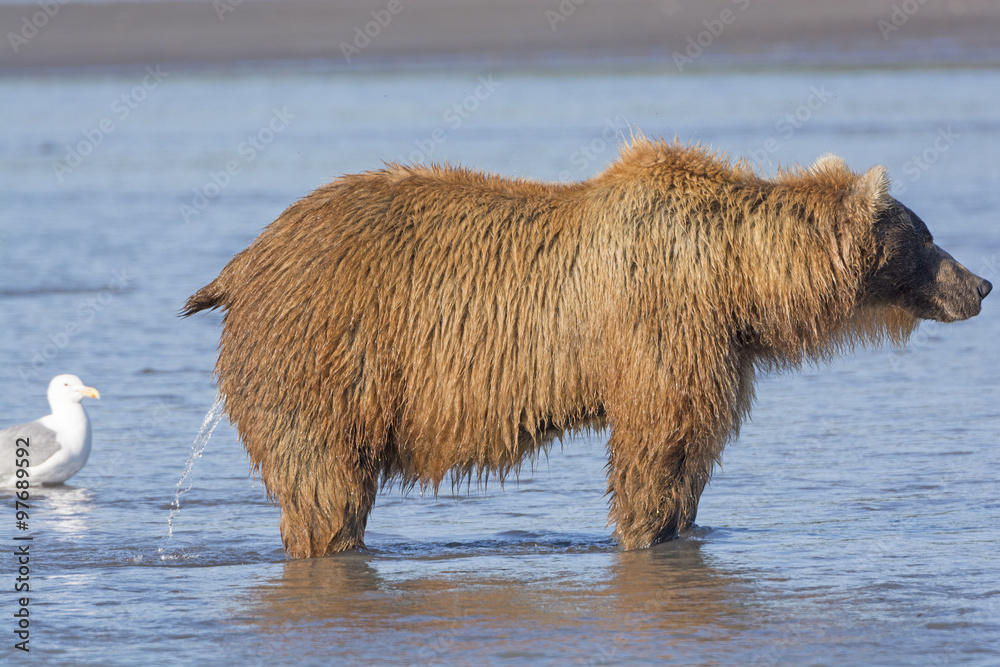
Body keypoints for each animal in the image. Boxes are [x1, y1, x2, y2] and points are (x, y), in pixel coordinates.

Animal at [183, 139, 991, 558]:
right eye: (925, 237)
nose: (981, 284)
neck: (737, 276)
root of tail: (243, 262)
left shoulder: (718, 347)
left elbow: (693, 452)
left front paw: (686, 526)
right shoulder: (661, 327)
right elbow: (654, 446)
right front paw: (643, 534)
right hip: (325, 358)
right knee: (325, 486)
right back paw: (332, 545)